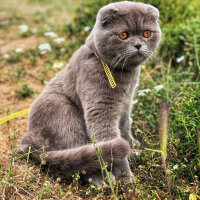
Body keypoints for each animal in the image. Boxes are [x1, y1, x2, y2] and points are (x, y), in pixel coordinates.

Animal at [19, 1, 161, 186]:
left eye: (146, 33)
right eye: (123, 35)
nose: (138, 45)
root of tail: (30, 141)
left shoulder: (126, 103)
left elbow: (124, 126)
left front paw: (133, 147)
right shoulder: (101, 107)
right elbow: (108, 137)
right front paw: (125, 177)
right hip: (63, 111)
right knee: (80, 156)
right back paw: (103, 180)